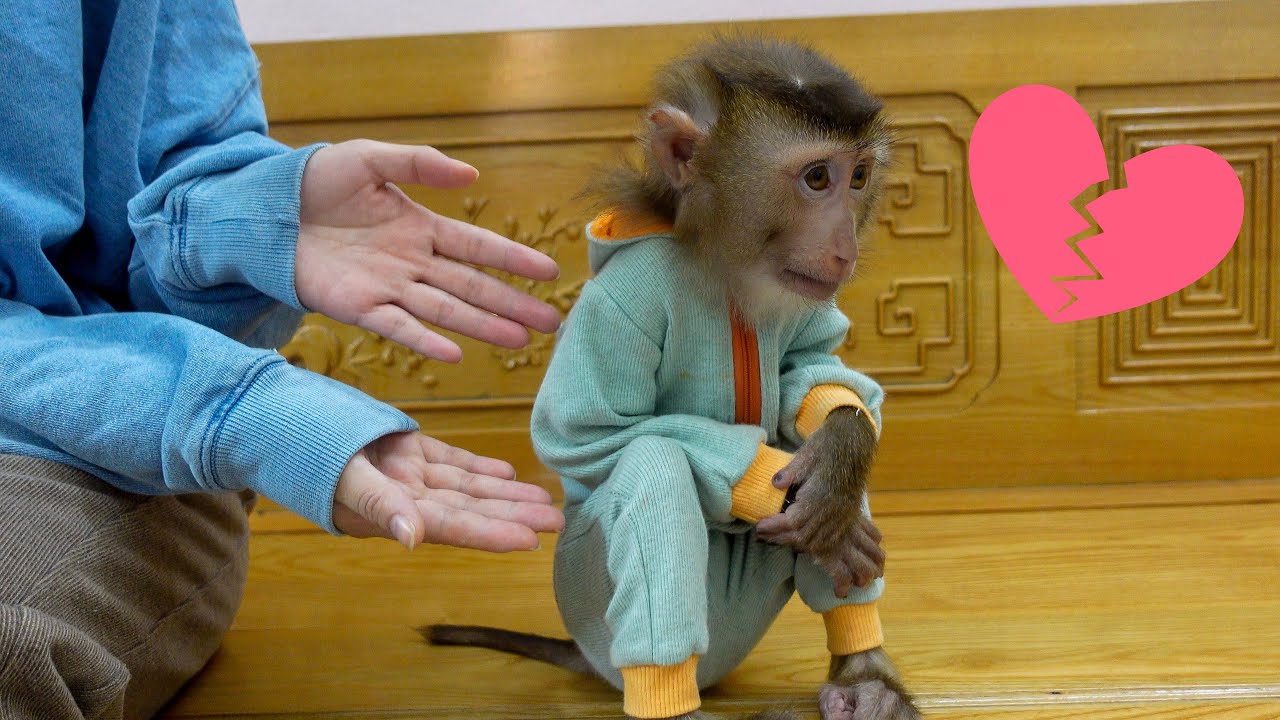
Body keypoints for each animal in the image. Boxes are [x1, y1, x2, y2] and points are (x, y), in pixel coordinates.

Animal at [422, 35, 921, 720]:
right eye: (818, 178)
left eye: (860, 177)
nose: (845, 244)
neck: (726, 269)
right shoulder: (621, 302)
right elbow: (589, 435)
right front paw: (786, 491)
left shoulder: (804, 297)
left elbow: (814, 371)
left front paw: (841, 458)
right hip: (589, 608)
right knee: (652, 463)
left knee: (805, 443)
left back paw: (864, 673)